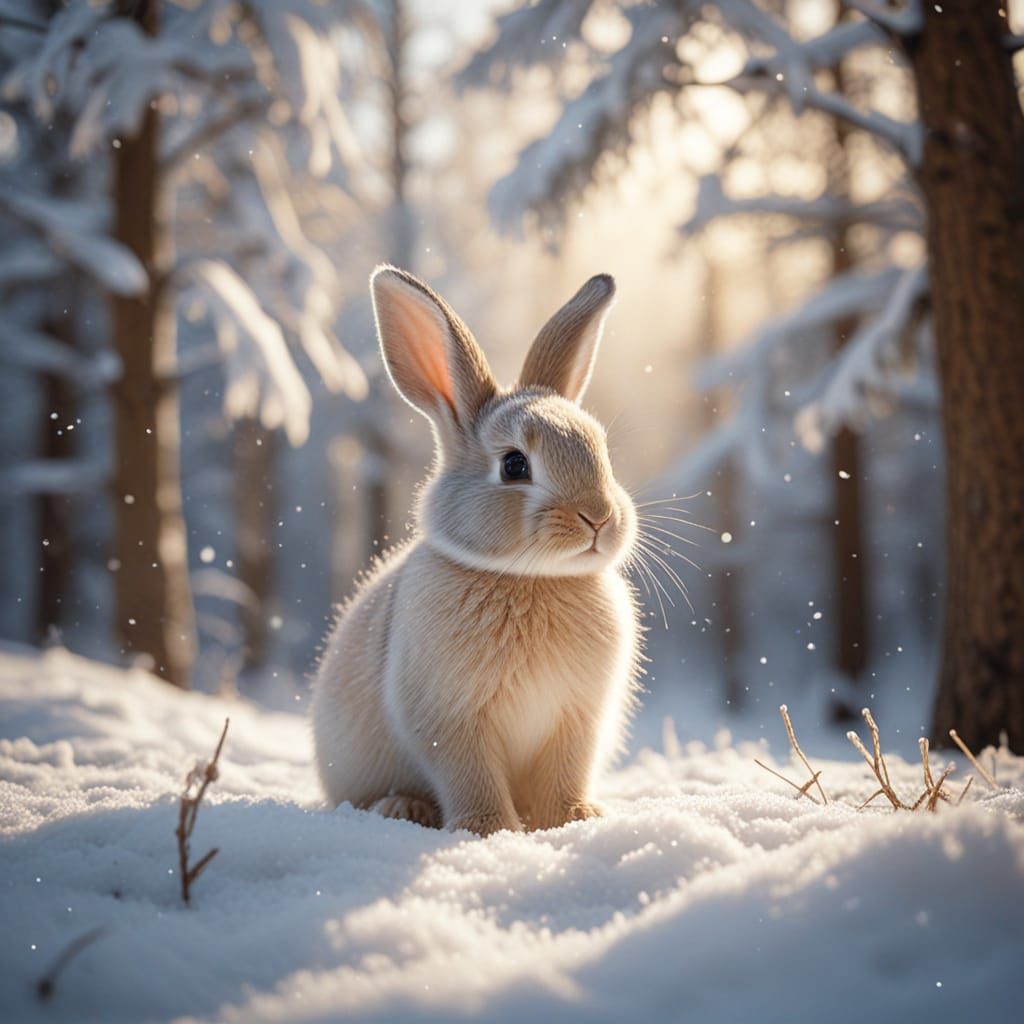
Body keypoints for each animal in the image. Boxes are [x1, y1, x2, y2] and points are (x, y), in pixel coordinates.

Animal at [311, 265, 641, 835]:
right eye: (514, 465)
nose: (598, 516)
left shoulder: (577, 717)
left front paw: (576, 818)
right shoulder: (451, 722)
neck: (527, 578)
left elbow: (566, 771)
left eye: (602, 452)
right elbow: (471, 776)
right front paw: (490, 830)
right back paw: (402, 808)